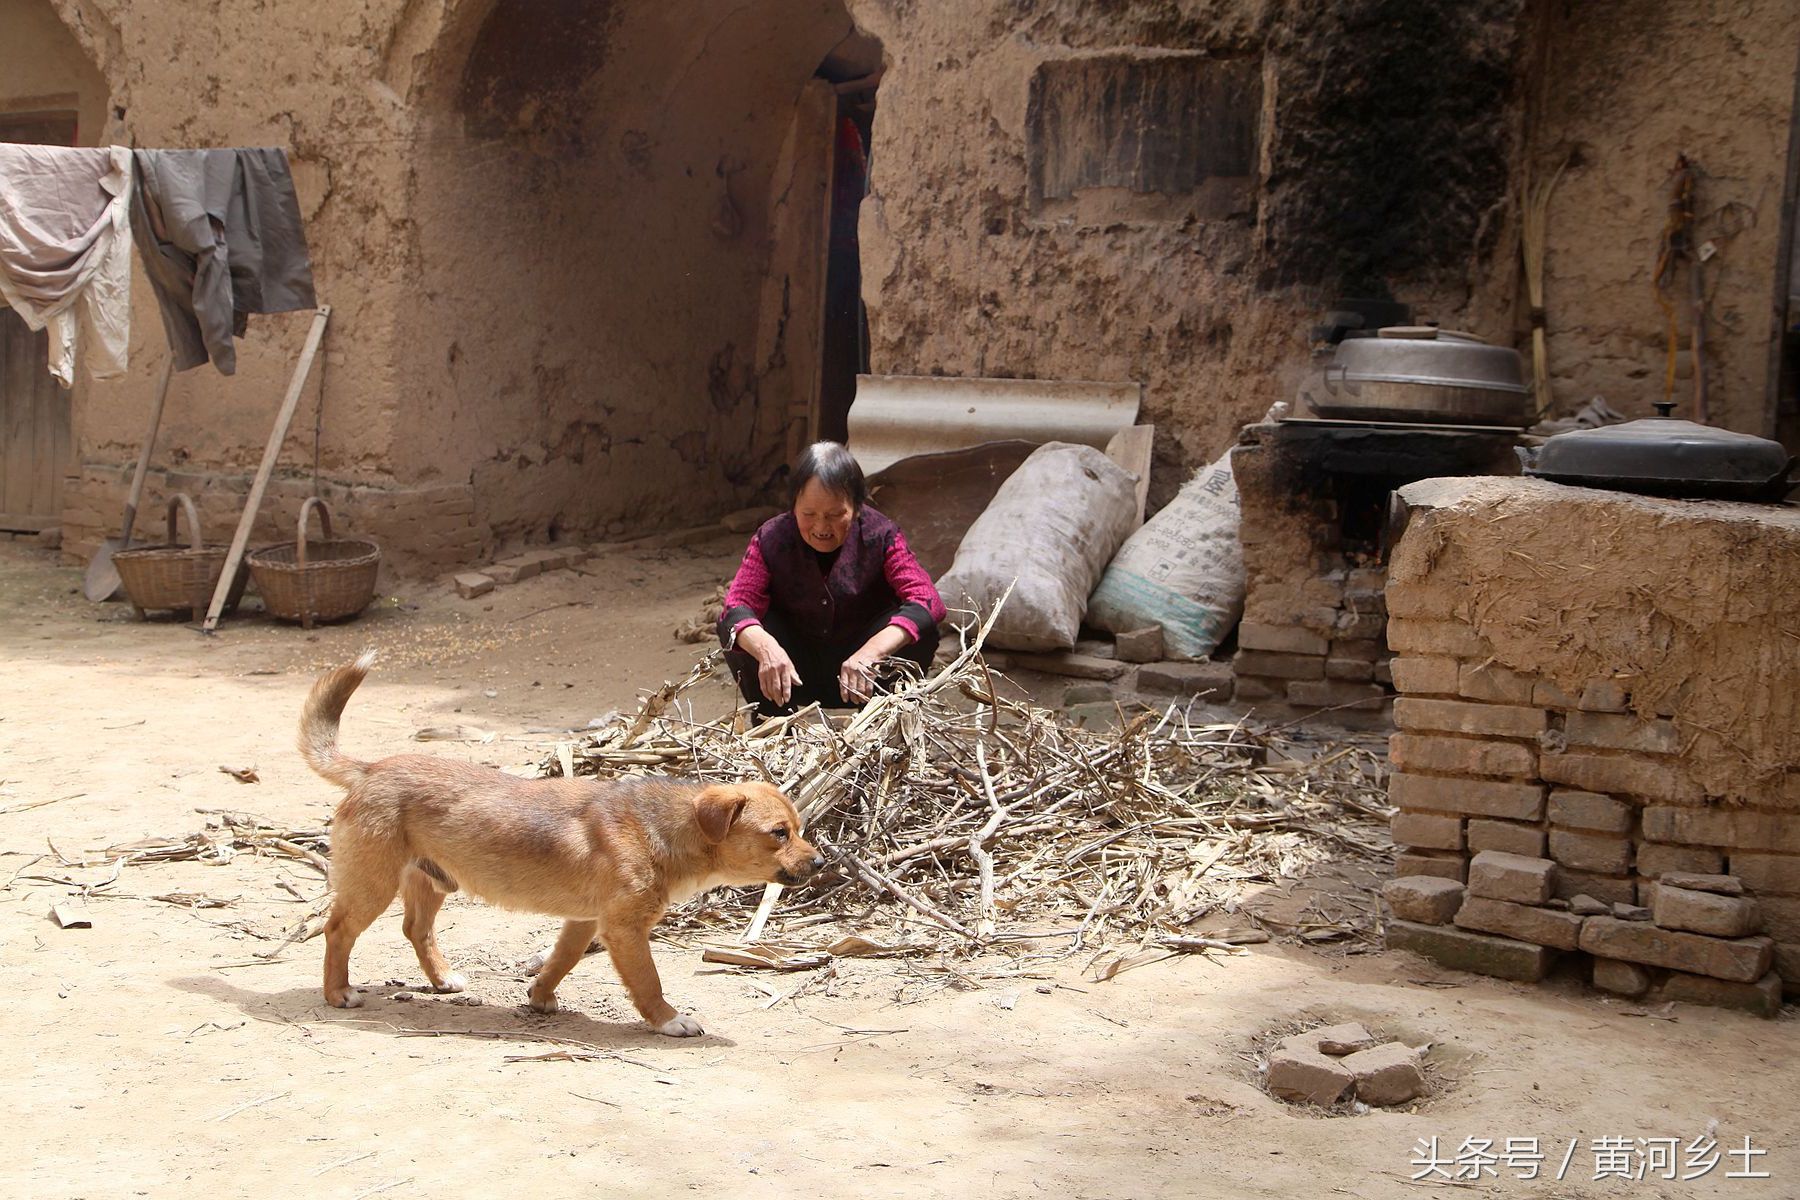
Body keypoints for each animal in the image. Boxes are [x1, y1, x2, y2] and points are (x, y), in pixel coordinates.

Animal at [300, 651, 824, 1036]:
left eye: (798, 828)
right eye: (779, 833)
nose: (821, 862)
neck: (661, 829)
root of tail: (370, 769)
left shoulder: (585, 921)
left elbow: (559, 962)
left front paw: (540, 997)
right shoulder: (624, 929)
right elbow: (648, 981)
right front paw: (668, 1020)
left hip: (431, 882)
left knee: (416, 930)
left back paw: (443, 978)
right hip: (373, 885)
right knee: (337, 930)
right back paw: (337, 993)